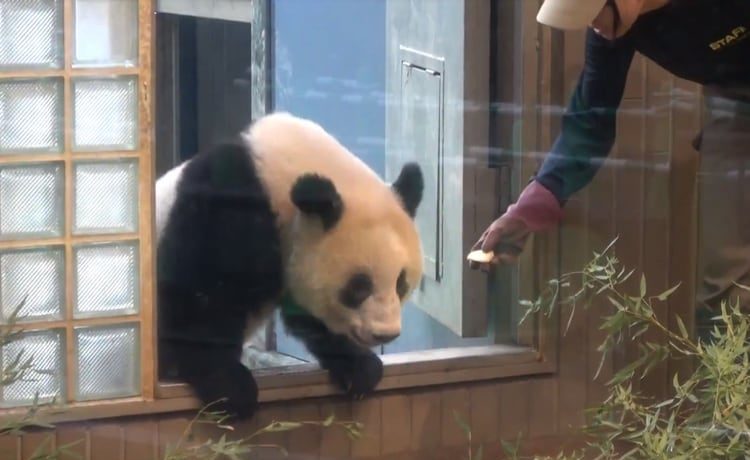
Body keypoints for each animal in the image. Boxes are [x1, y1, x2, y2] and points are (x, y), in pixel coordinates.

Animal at [154, 111, 424, 420]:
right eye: (358, 287)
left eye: (401, 283)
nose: (385, 333)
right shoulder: (227, 203)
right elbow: (200, 293)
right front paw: (230, 386)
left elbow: (308, 316)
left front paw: (360, 368)